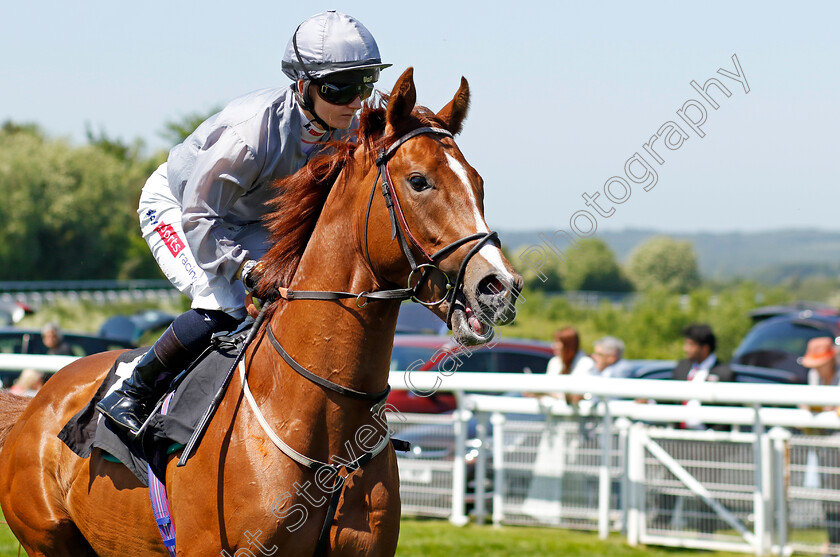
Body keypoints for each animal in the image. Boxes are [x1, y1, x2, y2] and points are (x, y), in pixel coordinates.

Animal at [0, 67, 520, 552]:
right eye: (418, 181)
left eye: (478, 183)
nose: (498, 286)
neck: (326, 427)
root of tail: (36, 401)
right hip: (48, 540)